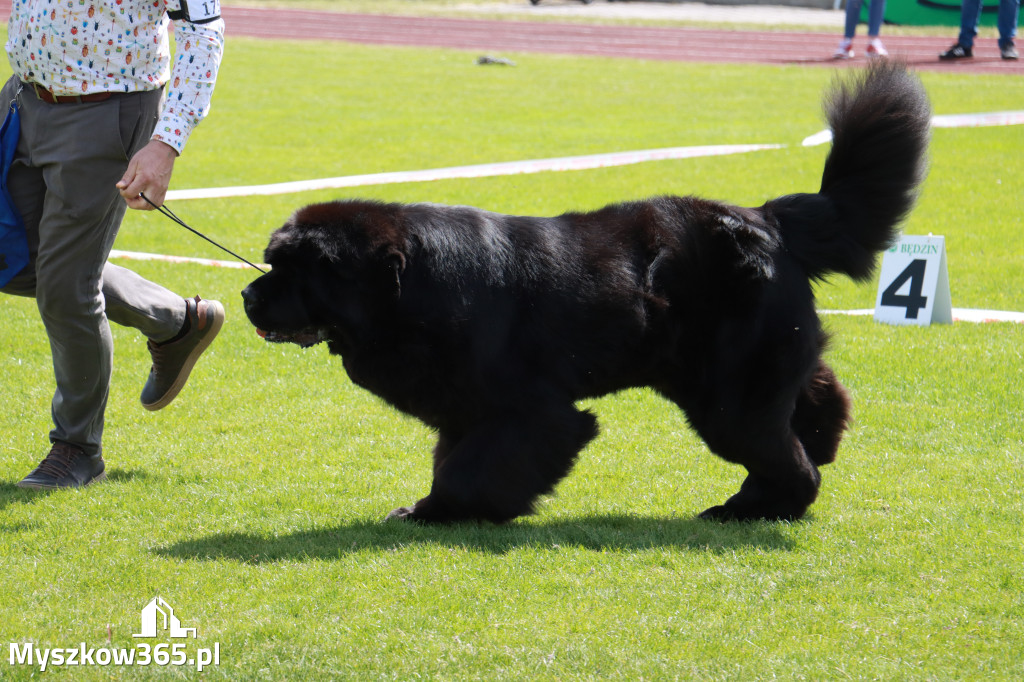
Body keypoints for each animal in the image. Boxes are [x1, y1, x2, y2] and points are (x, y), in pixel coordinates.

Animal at [243, 62, 933, 520]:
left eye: (293, 268)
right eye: (272, 262)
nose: (249, 296)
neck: (412, 290)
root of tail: (767, 219)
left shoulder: (530, 410)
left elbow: (475, 468)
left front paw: (443, 511)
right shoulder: (464, 407)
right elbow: (455, 456)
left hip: (727, 394)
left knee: (777, 449)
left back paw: (756, 506)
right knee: (814, 397)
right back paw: (811, 449)